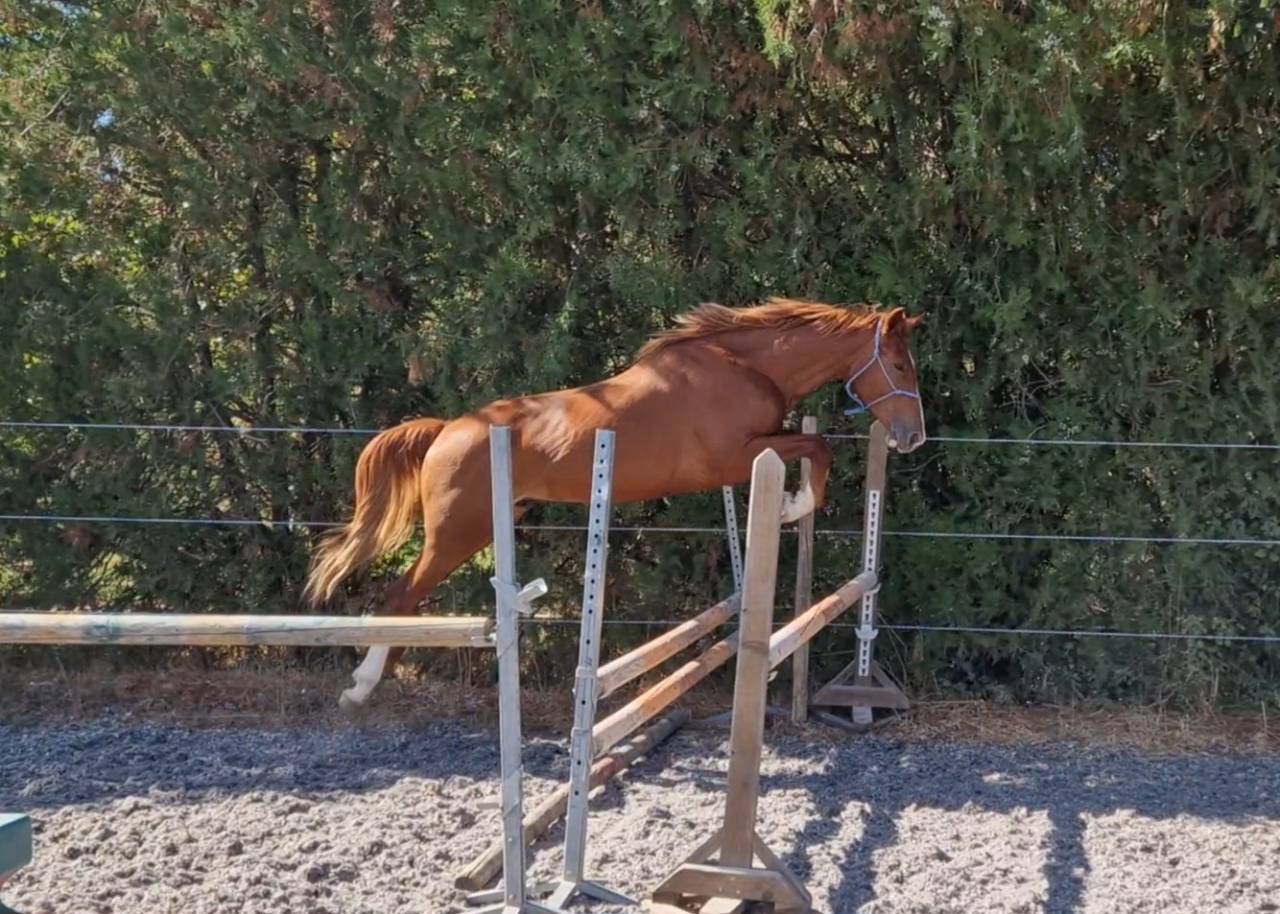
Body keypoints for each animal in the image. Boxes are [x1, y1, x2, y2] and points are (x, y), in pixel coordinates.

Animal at [305, 297, 926, 708]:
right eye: (899, 366)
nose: (913, 436)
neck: (745, 367)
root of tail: (446, 432)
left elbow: (815, 446)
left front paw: (793, 502)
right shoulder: (734, 458)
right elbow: (818, 447)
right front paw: (793, 504)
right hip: (459, 532)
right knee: (402, 594)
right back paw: (362, 685)